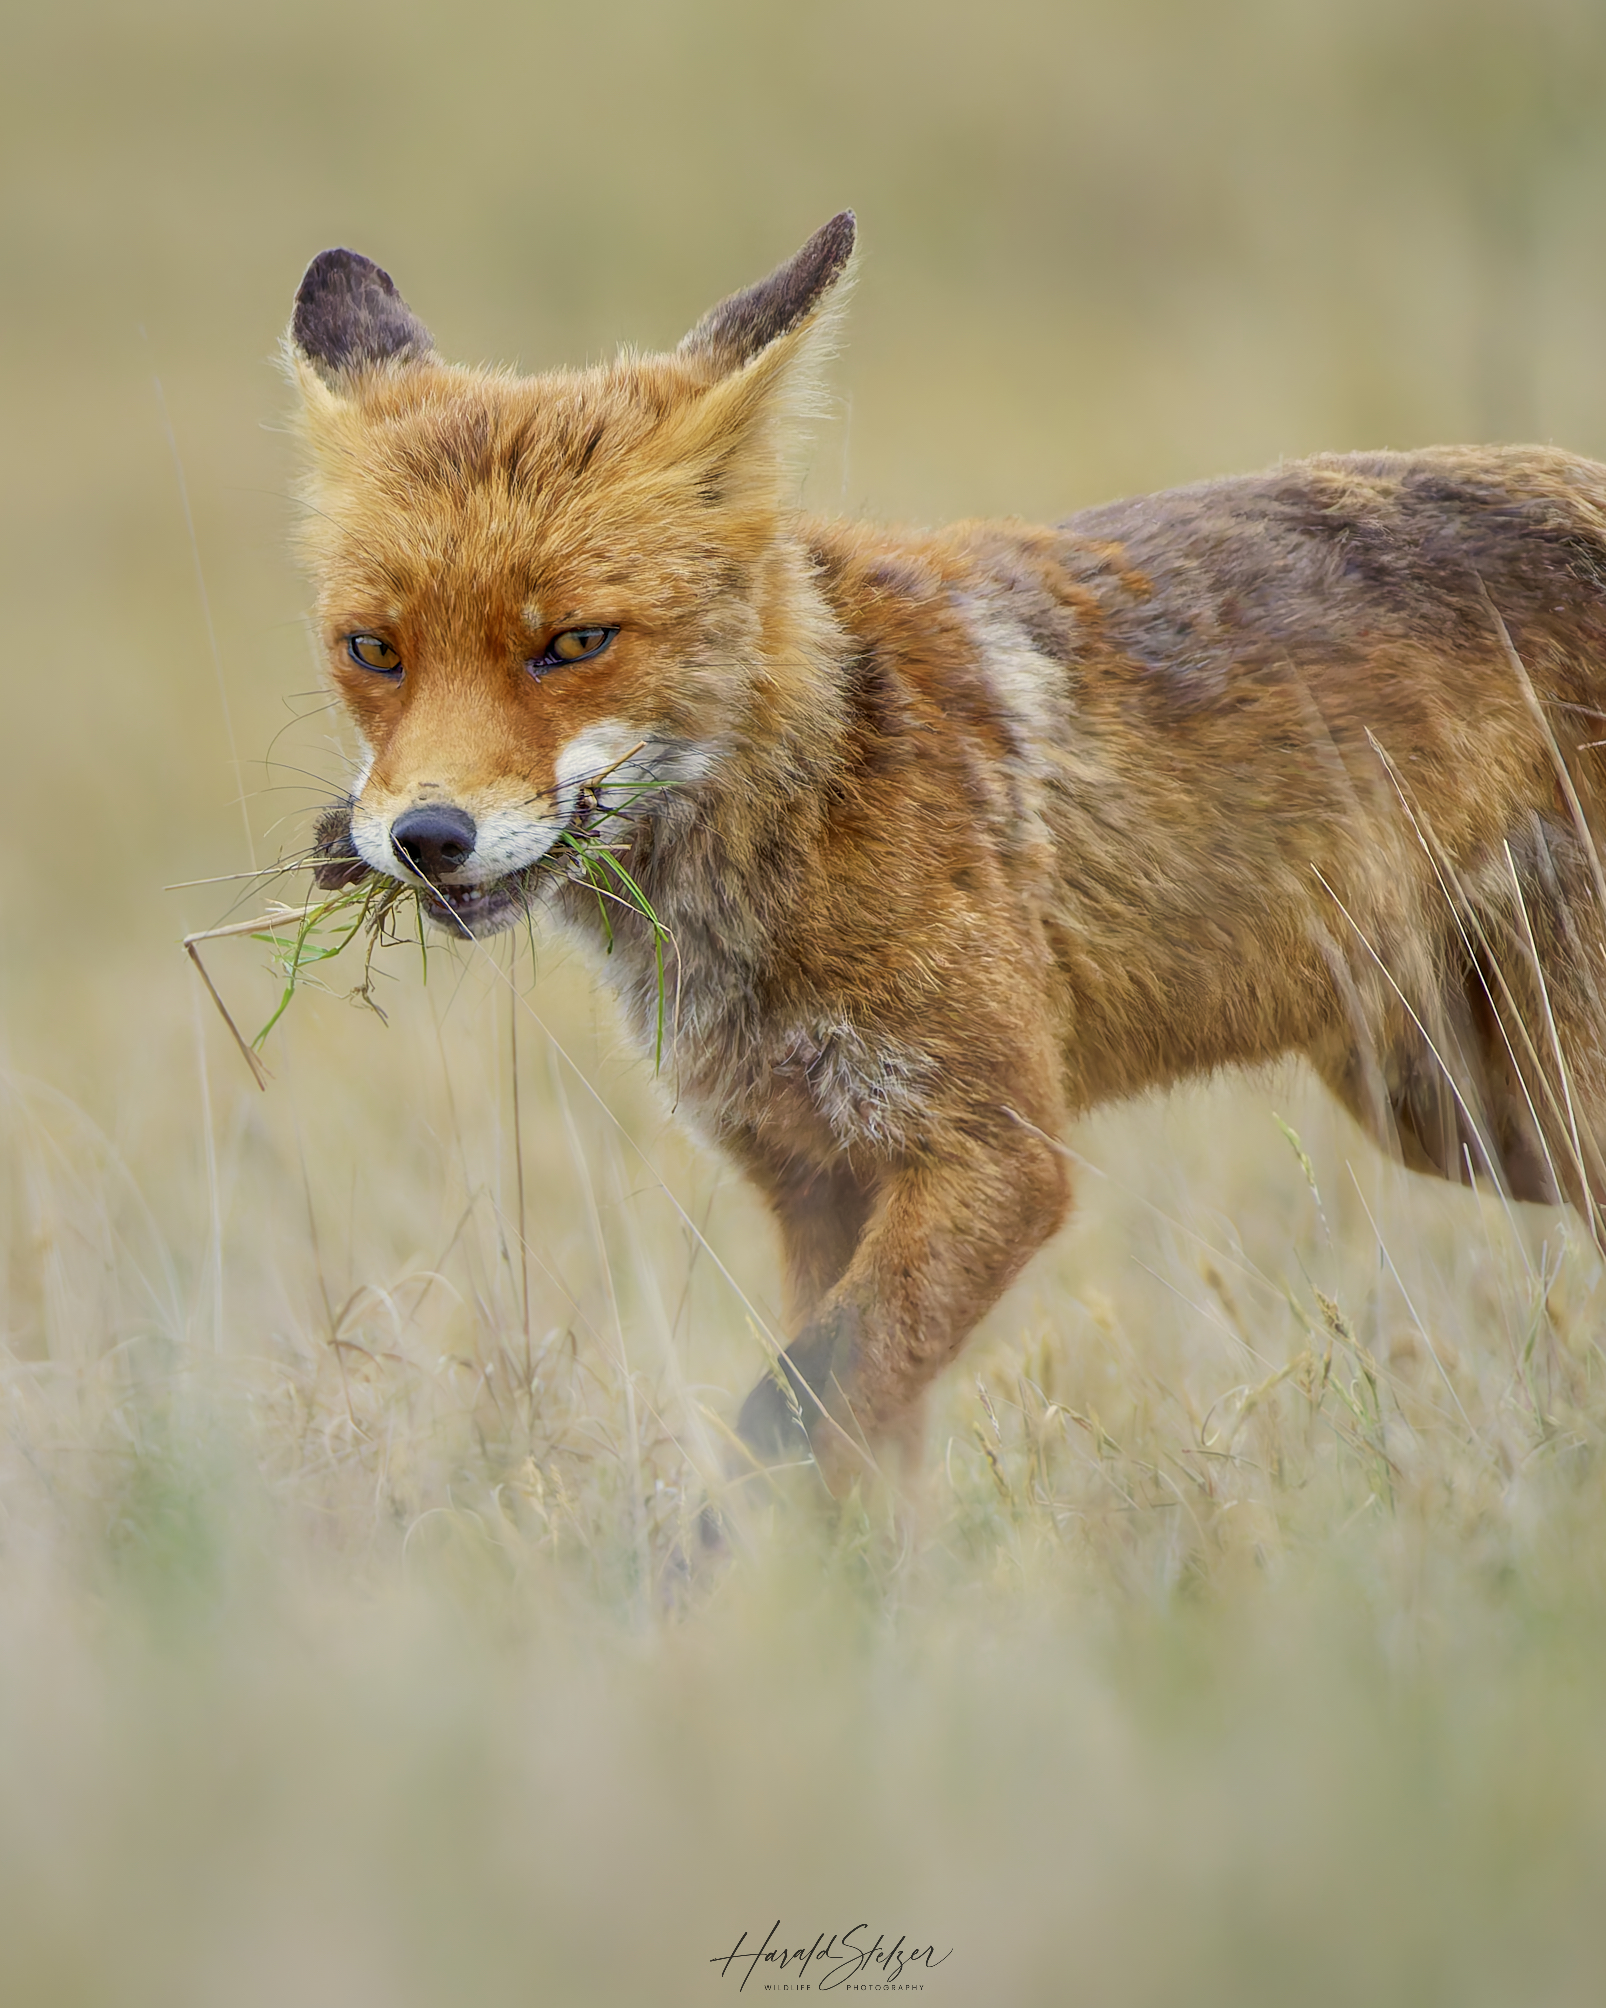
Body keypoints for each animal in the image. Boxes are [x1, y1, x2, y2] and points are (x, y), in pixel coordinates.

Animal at [290, 211, 1606, 1492]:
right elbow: (857, 1462)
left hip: (1539, 1094)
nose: (424, 836)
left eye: (573, 642)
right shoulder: (815, 1177)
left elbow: (782, 1423)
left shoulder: (992, 1155)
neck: (813, 794)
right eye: (373, 650)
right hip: (1458, 1116)